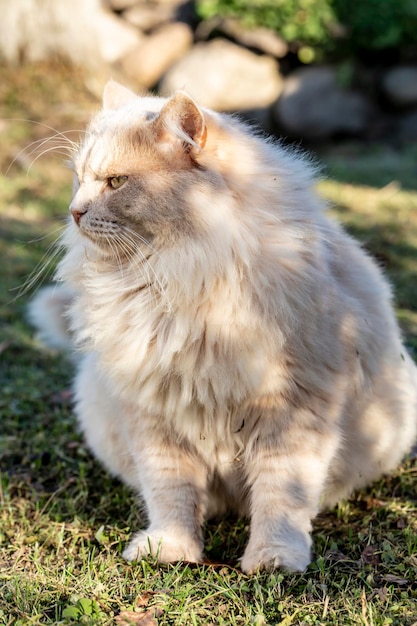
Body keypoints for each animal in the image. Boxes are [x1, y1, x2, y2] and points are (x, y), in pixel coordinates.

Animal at [29, 79, 416, 572]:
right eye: (79, 179)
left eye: (116, 182)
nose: (74, 211)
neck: (172, 281)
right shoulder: (153, 416)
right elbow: (170, 493)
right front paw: (171, 549)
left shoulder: (293, 410)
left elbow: (281, 496)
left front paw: (273, 559)